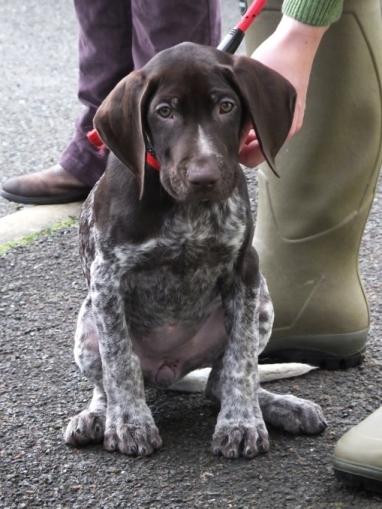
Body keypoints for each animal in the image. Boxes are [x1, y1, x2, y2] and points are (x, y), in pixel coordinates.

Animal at [64, 42, 326, 456]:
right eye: (164, 112)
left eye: (226, 107)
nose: (205, 177)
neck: (187, 211)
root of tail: (168, 370)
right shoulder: (107, 278)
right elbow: (120, 362)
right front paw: (129, 423)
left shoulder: (245, 270)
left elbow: (241, 364)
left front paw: (242, 423)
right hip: (87, 324)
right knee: (105, 383)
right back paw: (96, 416)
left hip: (264, 301)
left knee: (218, 382)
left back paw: (281, 406)